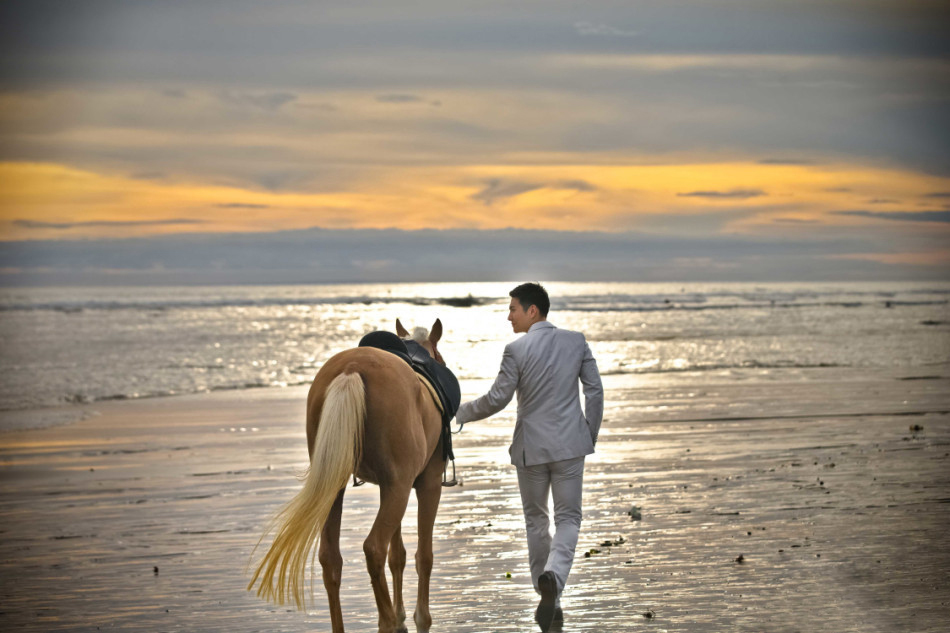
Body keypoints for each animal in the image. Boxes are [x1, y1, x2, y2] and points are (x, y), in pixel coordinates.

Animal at [247, 319, 450, 633]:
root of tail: (352, 368)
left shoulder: (392, 487)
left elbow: (398, 556)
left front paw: (401, 615)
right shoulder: (424, 485)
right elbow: (422, 557)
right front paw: (417, 618)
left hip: (339, 488)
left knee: (331, 558)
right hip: (398, 489)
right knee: (374, 548)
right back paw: (387, 622)